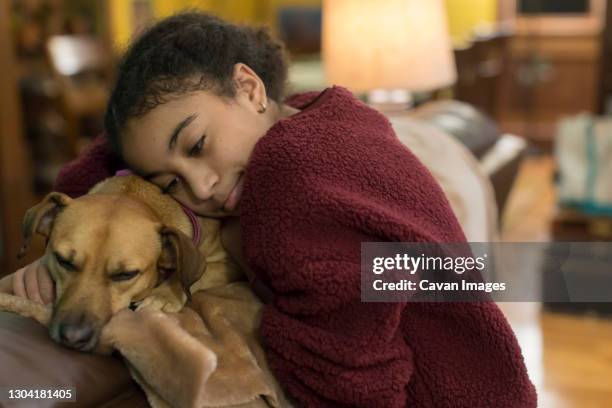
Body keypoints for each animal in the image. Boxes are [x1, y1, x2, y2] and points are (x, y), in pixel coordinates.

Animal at [18, 176, 230, 354]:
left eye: (126, 274)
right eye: (63, 261)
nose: (72, 337)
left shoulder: (225, 264)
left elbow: (196, 276)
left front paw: (163, 295)